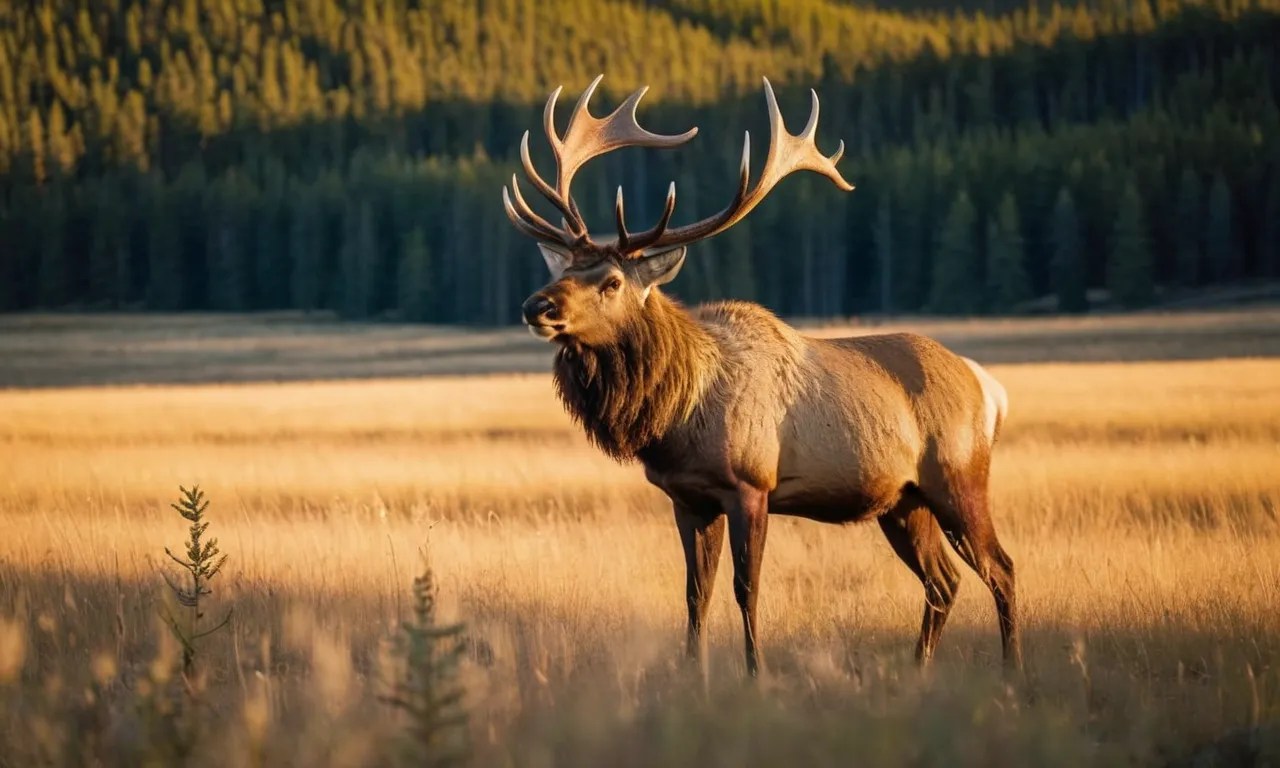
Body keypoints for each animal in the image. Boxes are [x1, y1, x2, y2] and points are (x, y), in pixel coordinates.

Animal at [501, 75, 1021, 678]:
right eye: (564, 268)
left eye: (610, 281)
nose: (536, 306)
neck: (678, 415)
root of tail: (991, 389)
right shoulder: (688, 498)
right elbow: (695, 594)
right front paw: (694, 675)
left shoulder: (751, 486)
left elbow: (745, 588)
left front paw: (756, 676)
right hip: (902, 501)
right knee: (944, 581)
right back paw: (918, 671)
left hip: (958, 477)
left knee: (1001, 568)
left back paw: (1013, 672)